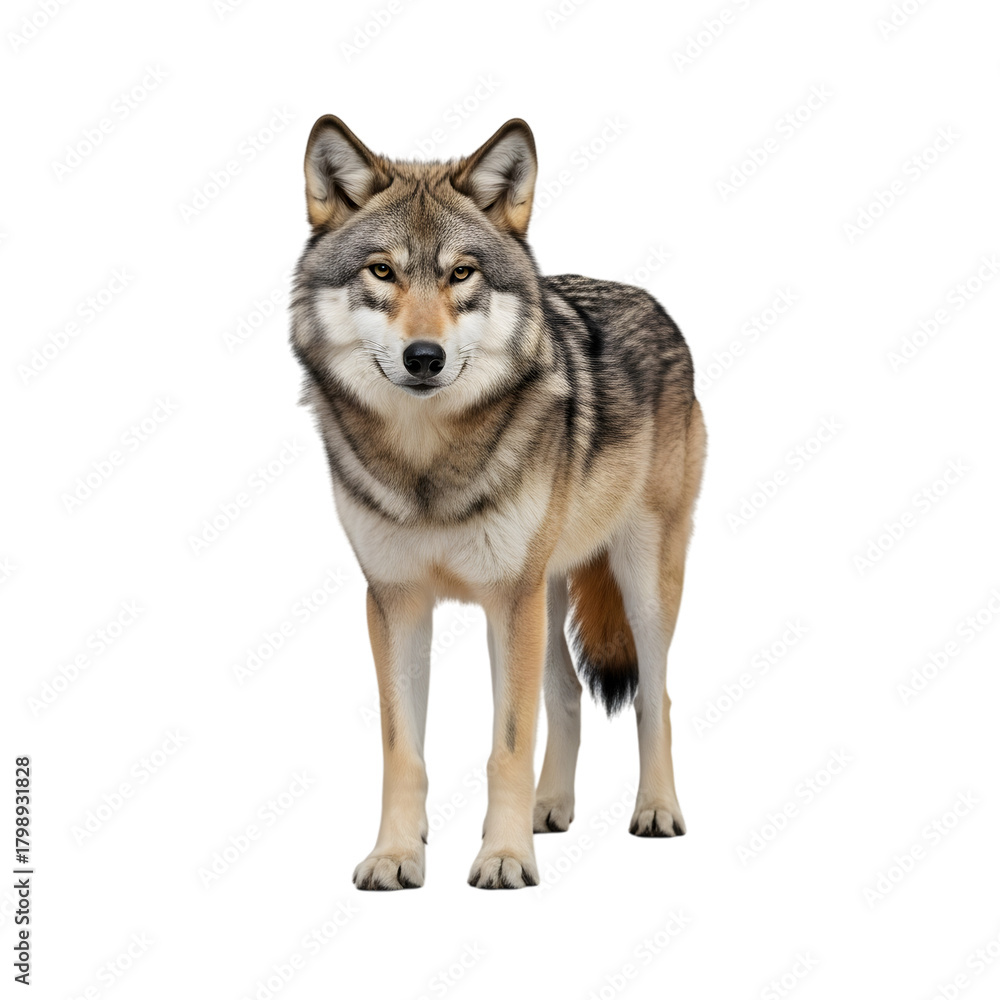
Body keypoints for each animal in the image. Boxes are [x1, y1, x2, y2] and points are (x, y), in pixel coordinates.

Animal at [290, 116, 705, 890]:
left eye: (462, 273)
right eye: (382, 271)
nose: (424, 357)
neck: (428, 464)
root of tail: (653, 302)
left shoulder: (508, 597)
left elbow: (506, 746)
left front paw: (505, 859)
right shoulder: (395, 601)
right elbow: (404, 752)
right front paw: (396, 855)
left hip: (635, 582)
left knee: (653, 694)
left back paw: (657, 811)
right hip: (545, 592)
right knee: (566, 694)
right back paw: (550, 809)